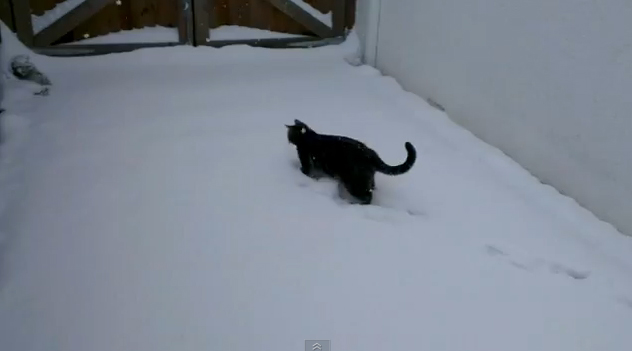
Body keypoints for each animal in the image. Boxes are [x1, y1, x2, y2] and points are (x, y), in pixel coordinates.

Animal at [286, 119, 414, 205]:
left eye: (289, 133)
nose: (288, 140)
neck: (307, 136)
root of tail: (372, 154)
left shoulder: (306, 164)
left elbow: (305, 171)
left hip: (355, 183)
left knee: (367, 197)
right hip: (366, 180)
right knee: (372, 189)